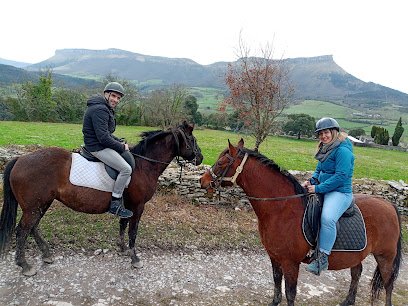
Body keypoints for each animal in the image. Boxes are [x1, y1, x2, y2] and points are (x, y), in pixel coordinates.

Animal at [0, 120, 203, 276]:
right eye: (192, 139)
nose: (200, 157)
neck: (143, 165)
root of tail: (19, 159)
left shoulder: (127, 206)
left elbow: (123, 225)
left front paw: (123, 249)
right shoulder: (138, 206)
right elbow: (133, 231)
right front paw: (134, 258)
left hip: (42, 204)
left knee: (33, 228)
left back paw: (46, 254)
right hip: (34, 206)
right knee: (22, 230)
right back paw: (25, 265)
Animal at [201, 139, 402, 306]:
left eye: (221, 163)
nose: (203, 181)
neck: (281, 209)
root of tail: (389, 204)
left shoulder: (290, 262)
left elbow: (290, 293)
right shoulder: (275, 257)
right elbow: (276, 282)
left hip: (385, 256)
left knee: (388, 283)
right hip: (357, 254)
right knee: (357, 273)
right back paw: (348, 301)